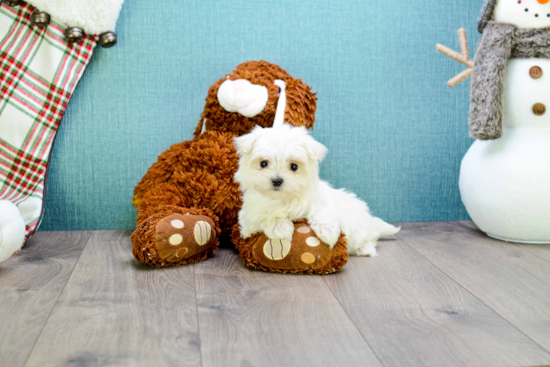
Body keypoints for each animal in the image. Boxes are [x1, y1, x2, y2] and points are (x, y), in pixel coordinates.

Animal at [233, 123, 402, 256]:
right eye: (263, 163)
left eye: (294, 166)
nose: (277, 180)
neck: (283, 199)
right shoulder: (248, 220)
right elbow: (264, 217)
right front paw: (280, 227)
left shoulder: (320, 202)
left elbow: (323, 211)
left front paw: (328, 232)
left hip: (360, 230)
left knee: (371, 238)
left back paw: (365, 249)